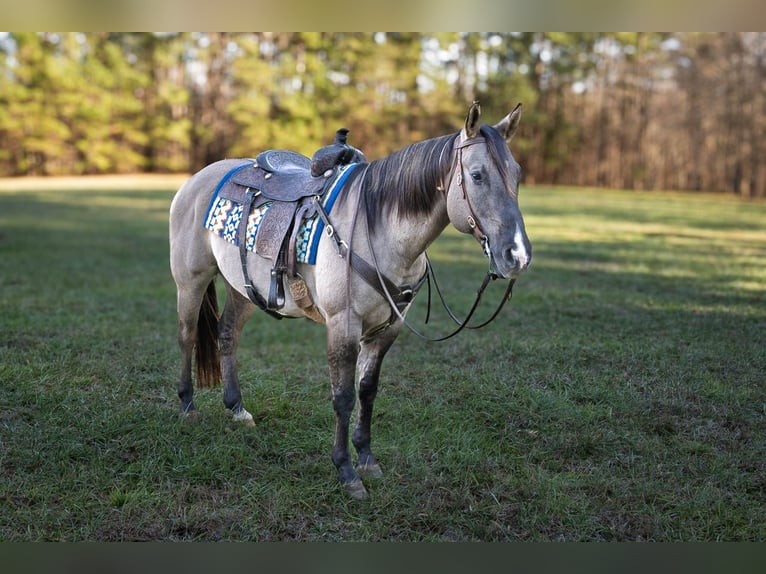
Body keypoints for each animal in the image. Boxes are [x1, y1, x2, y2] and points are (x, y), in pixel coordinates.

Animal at [168, 101, 532, 499]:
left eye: (517, 174)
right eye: (478, 176)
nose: (517, 255)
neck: (380, 229)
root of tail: (198, 178)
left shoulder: (388, 327)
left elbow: (367, 391)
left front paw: (367, 460)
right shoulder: (343, 324)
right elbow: (342, 397)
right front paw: (346, 471)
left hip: (244, 289)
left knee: (227, 335)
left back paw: (236, 409)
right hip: (190, 281)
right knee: (187, 335)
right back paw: (188, 408)